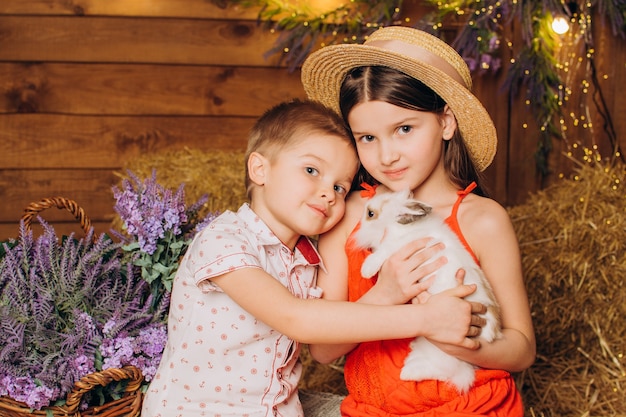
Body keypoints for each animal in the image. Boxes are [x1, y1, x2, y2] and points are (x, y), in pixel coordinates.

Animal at [352, 189, 502, 394]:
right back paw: (409, 366)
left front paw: (366, 270)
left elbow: (381, 253)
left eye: (371, 214)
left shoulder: (394, 248)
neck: (400, 228)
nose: (359, 220)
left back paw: (407, 374)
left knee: (445, 371)